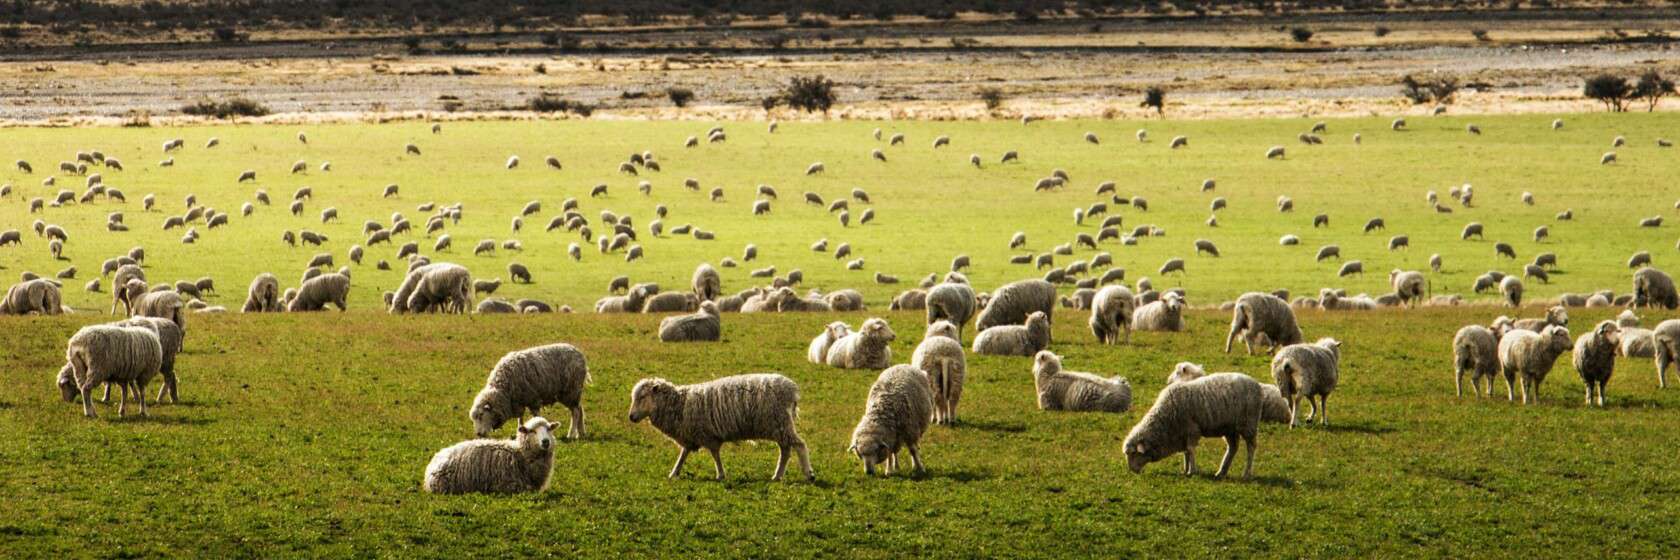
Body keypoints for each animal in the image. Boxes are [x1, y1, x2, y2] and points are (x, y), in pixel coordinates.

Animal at [628, 374, 813, 481]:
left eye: (642, 397)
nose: (631, 417)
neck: (679, 404)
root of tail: (792, 390)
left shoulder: (707, 435)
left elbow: (715, 455)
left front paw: (721, 474)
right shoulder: (690, 435)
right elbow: (683, 455)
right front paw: (674, 473)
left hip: (780, 423)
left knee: (799, 445)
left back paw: (808, 473)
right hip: (779, 426)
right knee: (786, 450)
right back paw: (777, 475)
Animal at [1123, 371, 1261, 479]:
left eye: (1134, 453)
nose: (1132, 470)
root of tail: (1256, 384)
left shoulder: (1191, 429)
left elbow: (1190, 450)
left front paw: (1192, 471)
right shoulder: (1182, 433)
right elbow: (1186, 452)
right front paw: (1185, 469)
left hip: (1248, 424)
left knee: (1251, 447)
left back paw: (1246, 473)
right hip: (1230, 428)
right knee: (1233, 448)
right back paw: (1221, 472)